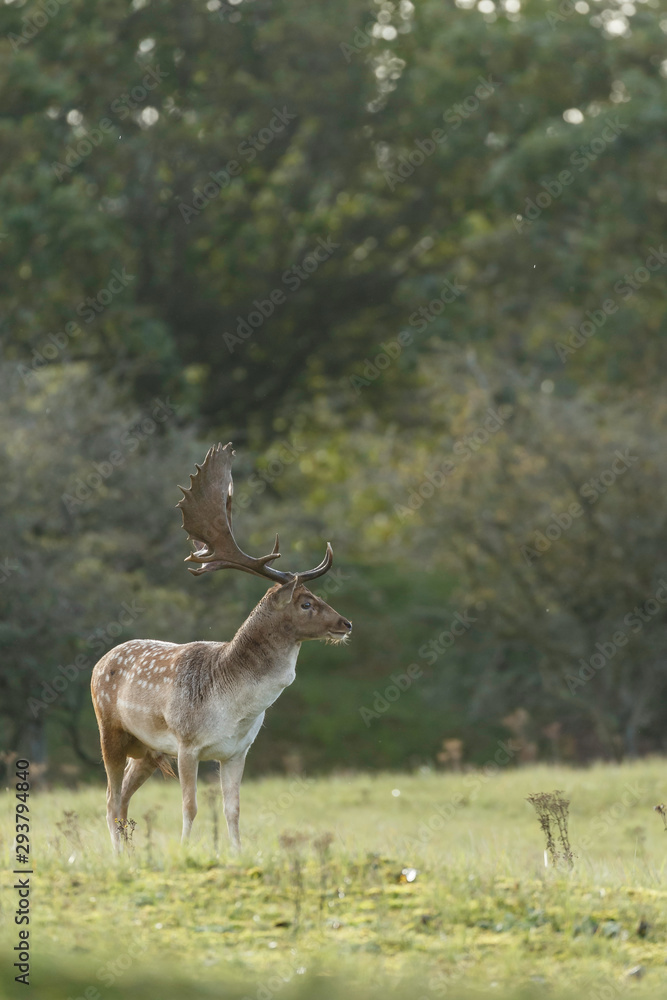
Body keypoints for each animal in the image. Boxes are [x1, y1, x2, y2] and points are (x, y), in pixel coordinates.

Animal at [91, 442, 352, 853]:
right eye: (306, 602)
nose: (346, 623)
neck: (233, 708)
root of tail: (99, 662)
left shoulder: (237, 751)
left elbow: (233, 810)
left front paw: (238, 854)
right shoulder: (186, 743)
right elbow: (190, 807)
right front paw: (185, 852)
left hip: (147, 751)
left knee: (123, 800)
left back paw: (131, 853)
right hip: (110, 732)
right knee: (110, 799)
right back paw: (119, 857)